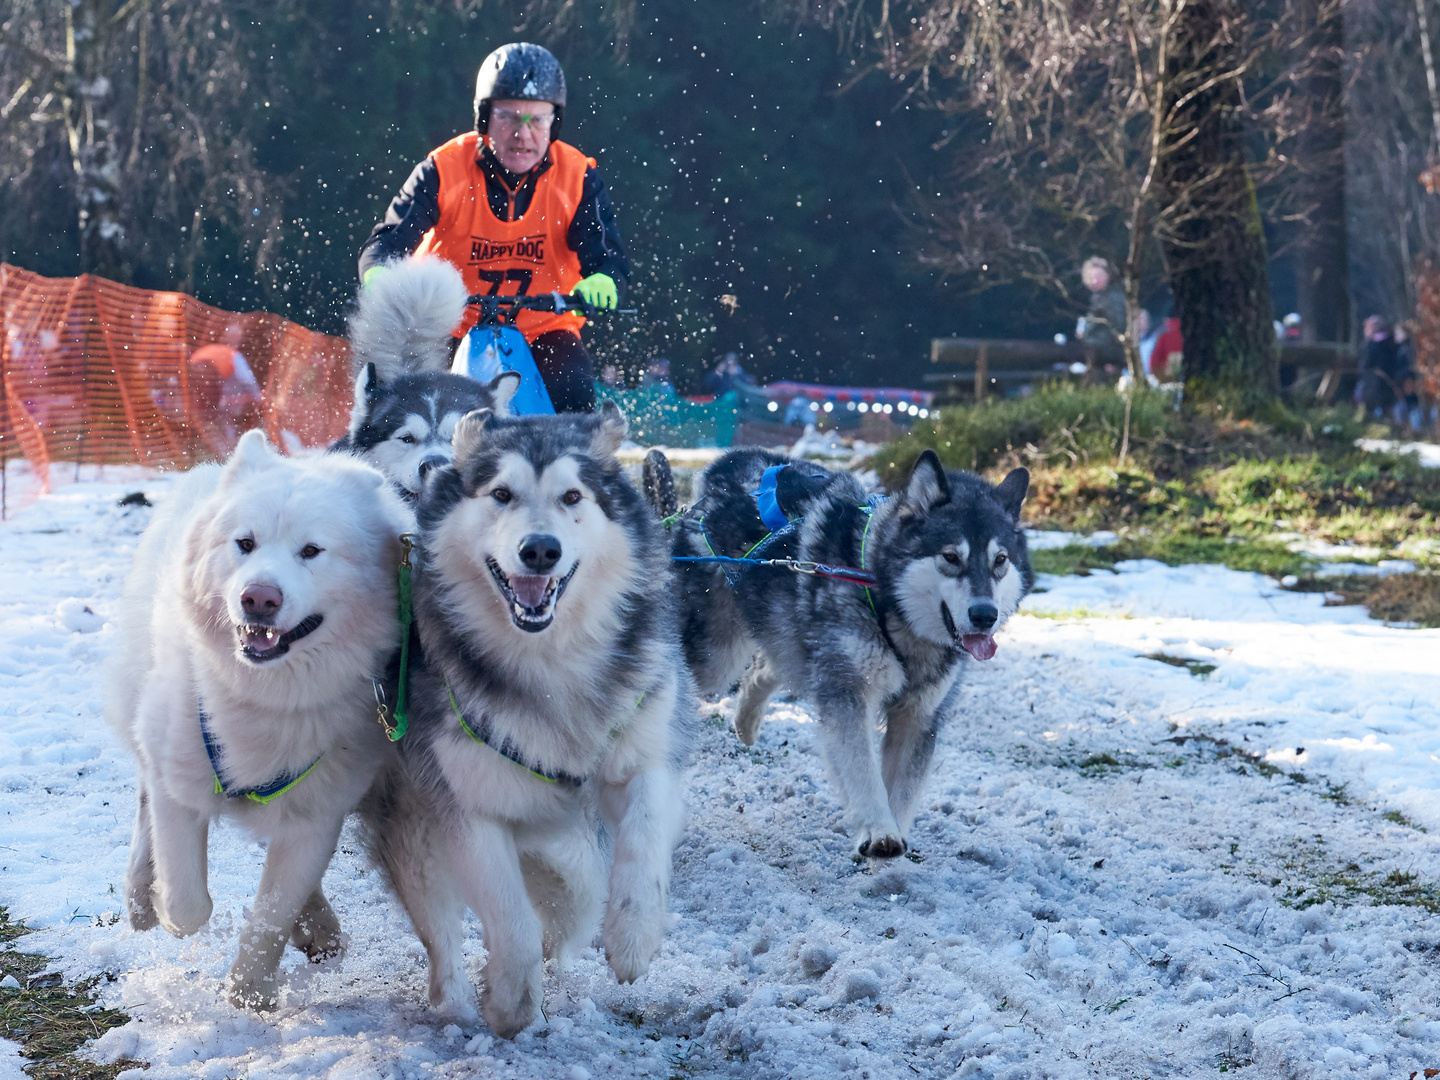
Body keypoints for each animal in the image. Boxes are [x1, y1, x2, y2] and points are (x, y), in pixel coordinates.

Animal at [102, 434, 411, 1013]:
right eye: (244, 543)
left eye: (311, 551)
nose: (259, 598)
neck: (264, 696)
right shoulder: (178, 784)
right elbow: (187, 901)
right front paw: (164, 908)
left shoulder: (318, 814)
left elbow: (272, 913)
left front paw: (250, 994)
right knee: (143, 800)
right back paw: (138, 897)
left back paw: (317, 926)